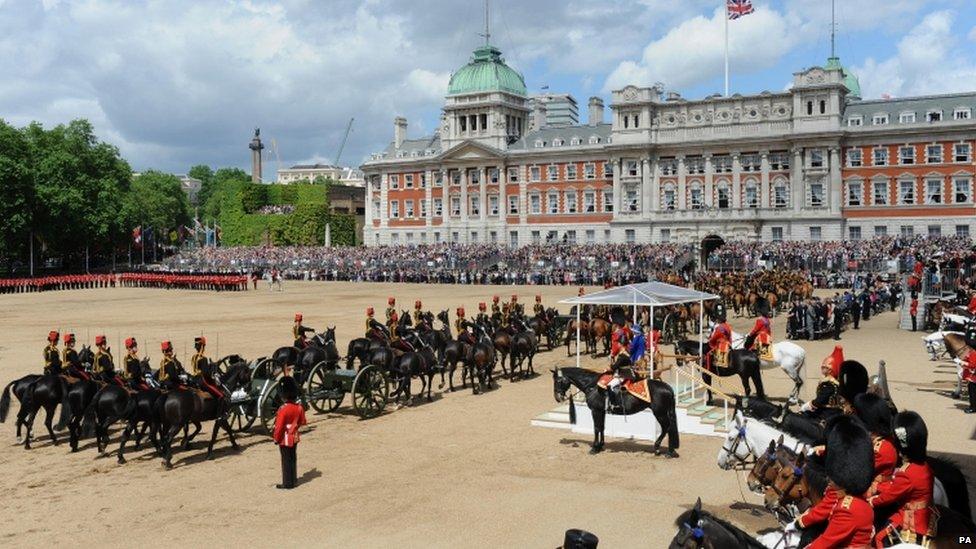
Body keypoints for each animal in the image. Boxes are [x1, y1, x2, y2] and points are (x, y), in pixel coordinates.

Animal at [548, 368, 680, 458]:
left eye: (558, 380)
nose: (557, 397)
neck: (593, 385)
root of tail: (667, 387)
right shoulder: (601, 411)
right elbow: (602, 427)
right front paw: (601, 446)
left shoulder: (595, 411)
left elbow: (596, 428)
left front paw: (594, 448)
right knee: (668, 428)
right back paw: (669, 450)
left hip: (660, 413)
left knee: (667, 427)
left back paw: (661, 449)